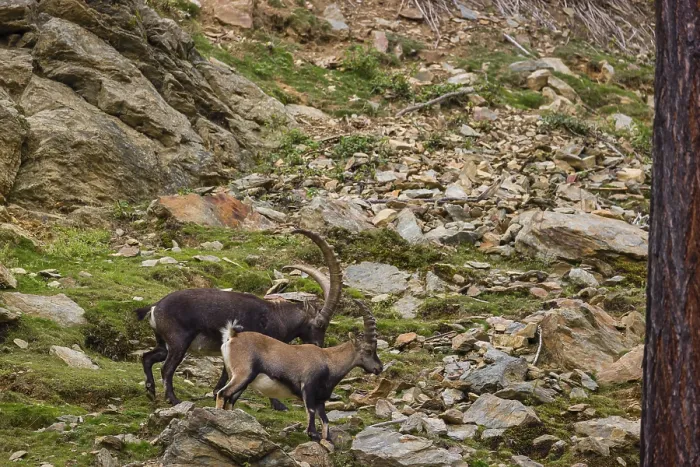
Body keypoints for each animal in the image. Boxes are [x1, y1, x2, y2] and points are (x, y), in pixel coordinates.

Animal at [134, 229, 343, 408]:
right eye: (319, 324)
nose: (318, 345)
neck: (278, 317)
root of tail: (154, 307)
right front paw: (278, 405)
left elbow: (226, 375)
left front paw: (217, 393)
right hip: (179, 341)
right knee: (166, 369)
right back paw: (173, 399)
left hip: (164, 343)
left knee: (148, 357)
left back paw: (150, 391)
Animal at [215, 300, 382, 441]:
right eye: (368, 350)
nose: (379, 368)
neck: (329, 361)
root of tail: (233, 336)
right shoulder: (308, 386)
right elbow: (311, 412)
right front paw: (312, 434)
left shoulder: (320, 398)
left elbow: (325, 420)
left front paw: (326, 439)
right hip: (243, 374)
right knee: (222, 393)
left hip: (240, 378)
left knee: (230, 399)